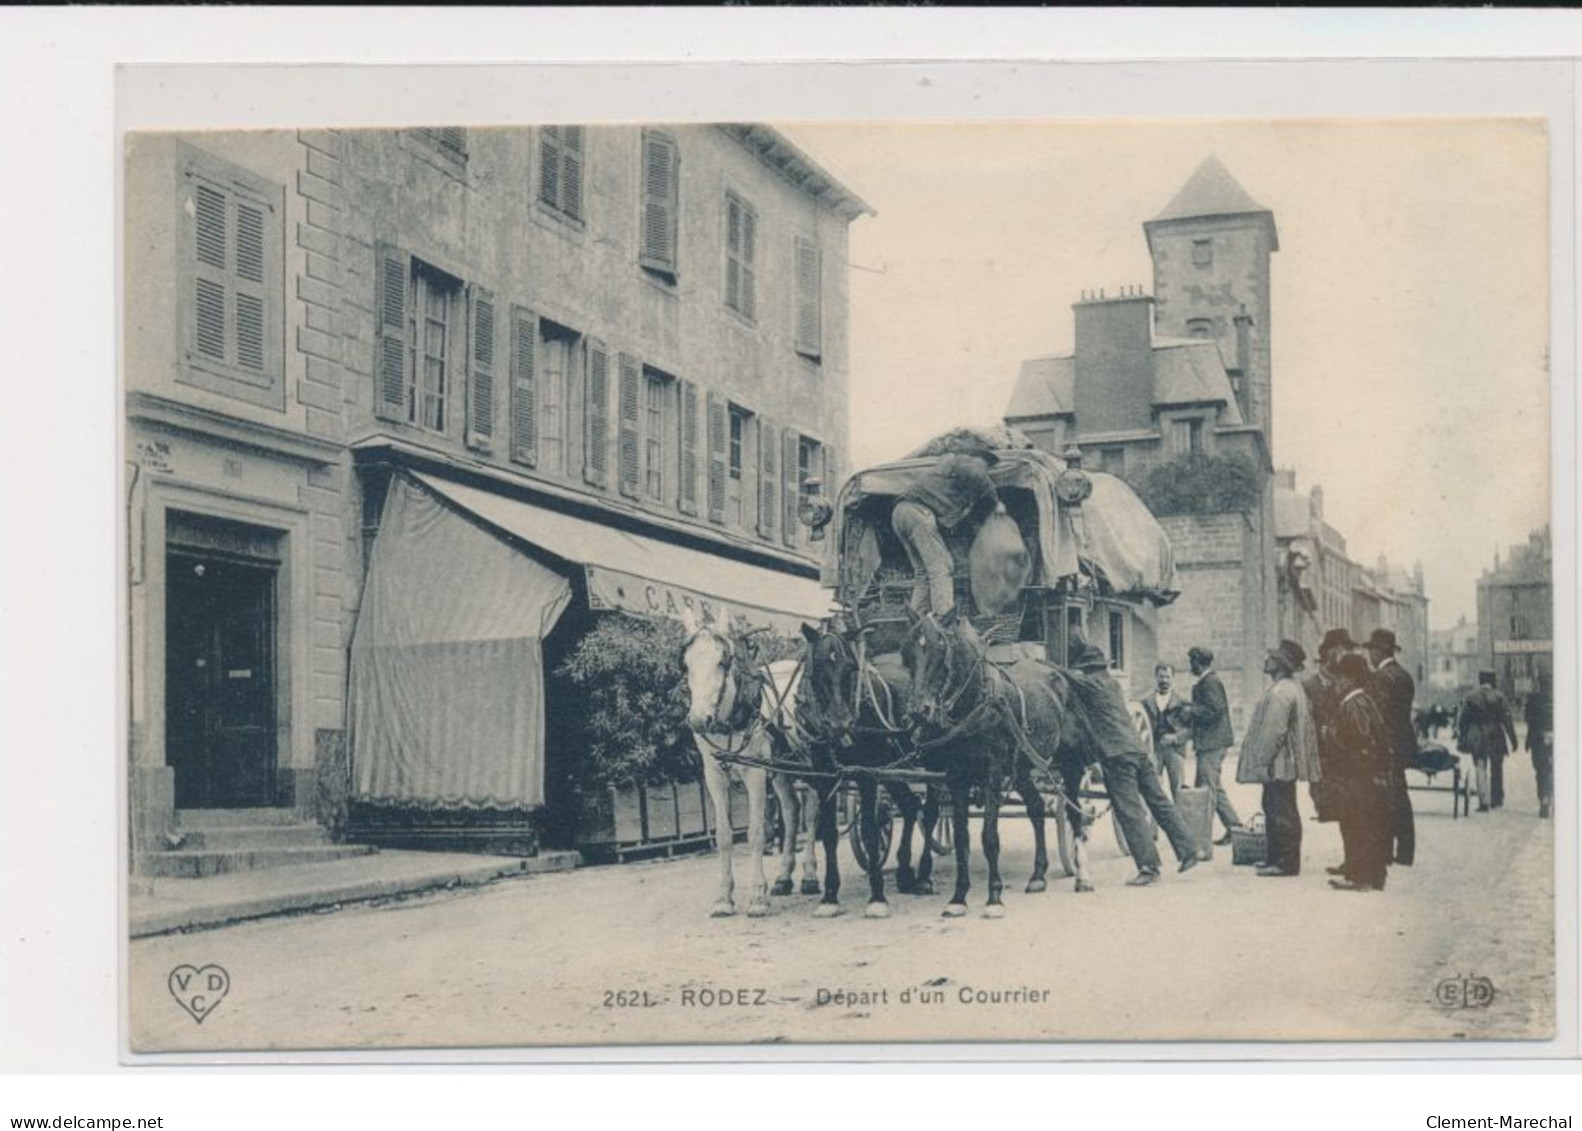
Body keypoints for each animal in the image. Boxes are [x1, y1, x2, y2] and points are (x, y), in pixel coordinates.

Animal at [677, 610, 822, 917]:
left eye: (722, 661)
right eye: (686, 664)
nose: (698, 720)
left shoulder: (755, 773)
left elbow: (757, 832)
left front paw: (757, 897)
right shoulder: (713, 775)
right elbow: (724, 834)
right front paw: (724, 898)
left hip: (813, 762)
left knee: (812, 814)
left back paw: (810, 876)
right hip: (781, 771)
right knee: (791, 812)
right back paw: (783, 878)